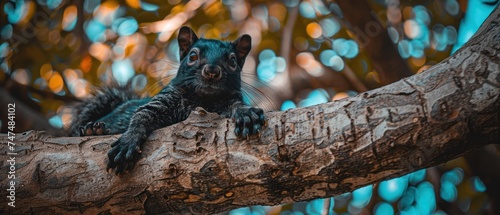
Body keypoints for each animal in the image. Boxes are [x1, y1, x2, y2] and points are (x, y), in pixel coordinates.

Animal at [71, 26, 268, 175]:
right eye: (193, 56)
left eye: (233, 61)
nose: (212, 71)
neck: (202, 99)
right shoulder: (162, 101)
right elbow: (142, 115)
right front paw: (128, 142)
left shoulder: (227, 102)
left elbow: (236, 105)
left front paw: (246, 114)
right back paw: (92, 130)